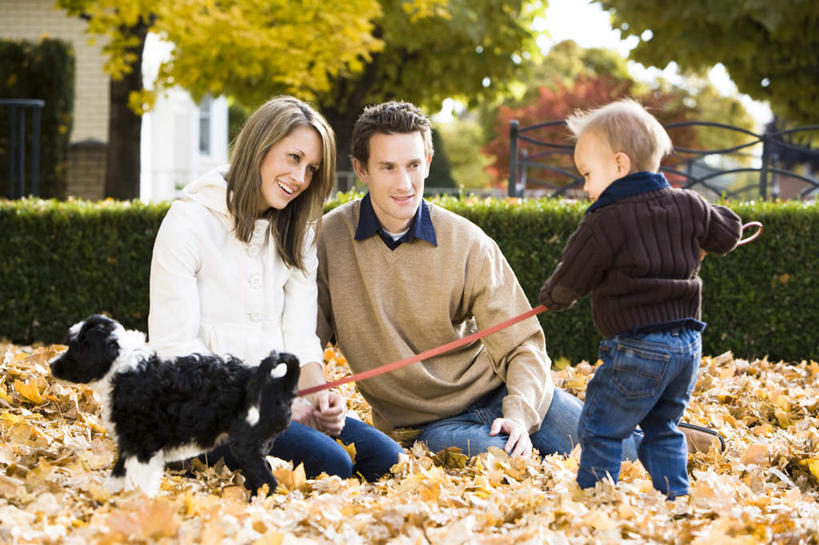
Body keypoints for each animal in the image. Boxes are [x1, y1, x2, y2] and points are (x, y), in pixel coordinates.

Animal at [48, 314, 300, 498]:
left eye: (74, 347)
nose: (50, 364)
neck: (123, 368)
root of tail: (280, 383)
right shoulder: (130, 441)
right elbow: (120, 472)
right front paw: (107, 496)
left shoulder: (142, 443)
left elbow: (137, 478)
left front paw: (133, 504)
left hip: (246, 444)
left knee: (267, 480)